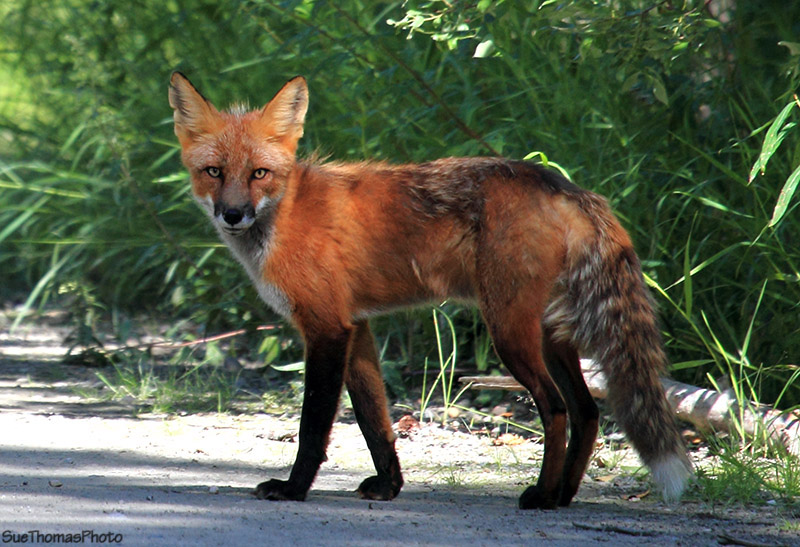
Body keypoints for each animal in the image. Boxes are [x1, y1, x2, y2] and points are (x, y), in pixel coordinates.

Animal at [168, 72, 692, 509]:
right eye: (214, 172)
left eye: (259, 173)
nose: (233, 214)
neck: (287, 214)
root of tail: (564, 185)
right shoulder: (356, 328)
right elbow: (375, 422)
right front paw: (389, 486)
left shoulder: (326, 328)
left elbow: (313, 425)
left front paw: (294, 489)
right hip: (550, 334)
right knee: (586, 411)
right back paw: (563, 495)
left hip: (509, 332)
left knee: (556, 407)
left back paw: (541, 496)